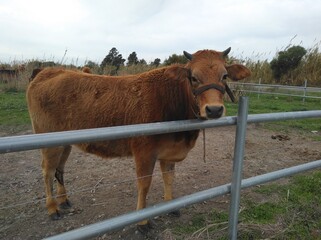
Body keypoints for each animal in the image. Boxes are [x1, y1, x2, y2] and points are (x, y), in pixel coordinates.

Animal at [26, 47, 249, 231]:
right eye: (193, 77)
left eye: (225, 75)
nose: (214, 110)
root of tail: (49, 71)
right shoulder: (144, 152)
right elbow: (144, 185)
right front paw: (142, 222)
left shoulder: (169, 152)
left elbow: (169, 178)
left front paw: (171, 206)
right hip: (47, 140)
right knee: (47, 171)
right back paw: (52, 208)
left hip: (65, 143)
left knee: (59, 168)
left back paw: (64, 200)